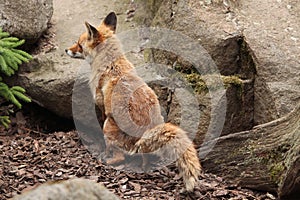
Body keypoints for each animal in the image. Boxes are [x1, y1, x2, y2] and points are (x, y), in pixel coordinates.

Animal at [65, 11, 202, 191]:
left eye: (79, 44)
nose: (66, 50)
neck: (111, 64)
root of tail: (146, 132)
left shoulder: (102, 106)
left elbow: (100, 119)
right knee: (143, 157)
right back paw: (145, 167)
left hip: (109, 127)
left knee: (120, 158)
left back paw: (106, 159)